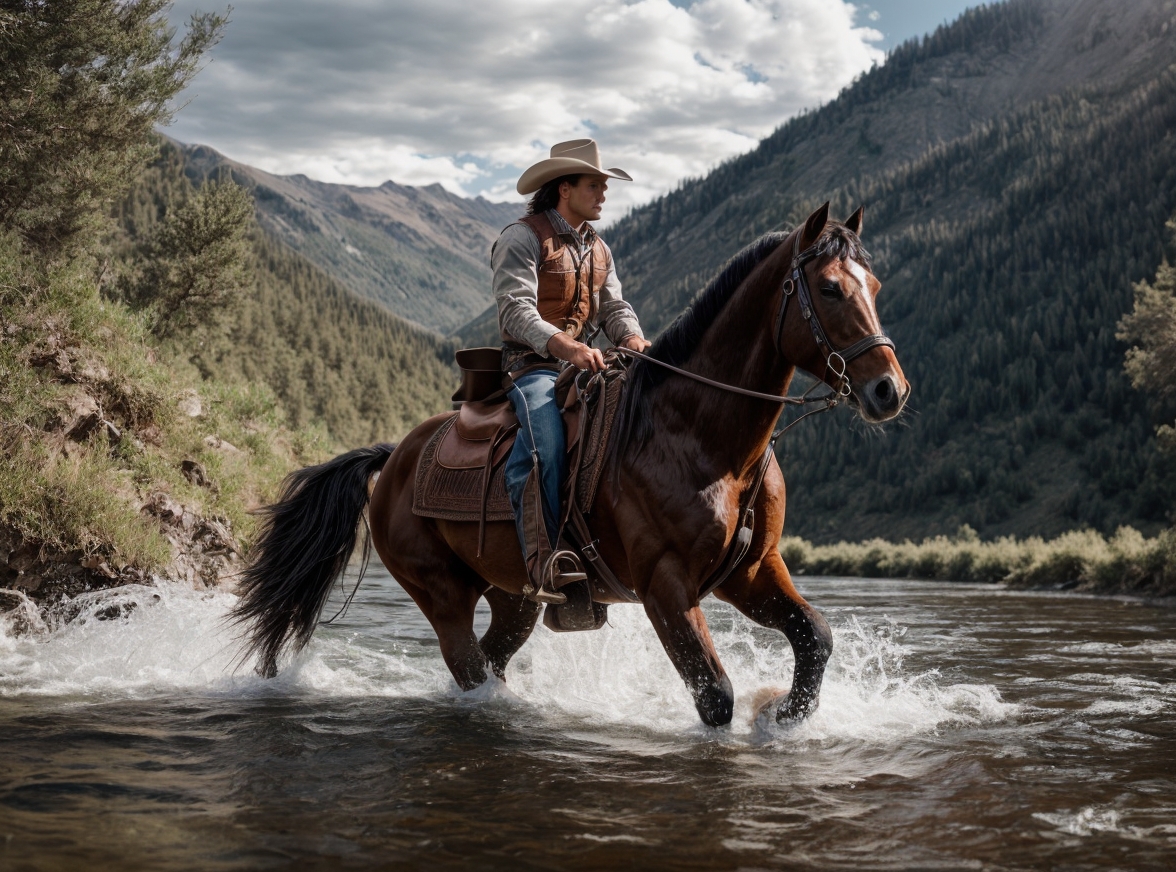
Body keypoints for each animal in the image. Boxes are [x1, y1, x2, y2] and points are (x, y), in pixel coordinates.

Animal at [229, 203, 907, 729]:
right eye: (830, 288)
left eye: (874, 288)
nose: (889, 391)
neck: (697, 437)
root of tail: (394, 456)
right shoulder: (665, 586)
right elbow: (715, 695)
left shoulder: (752, 571)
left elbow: (815, 638)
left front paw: (780, 714)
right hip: (440, 591)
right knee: (469, 666)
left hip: (514, 598)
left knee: (491, 657)